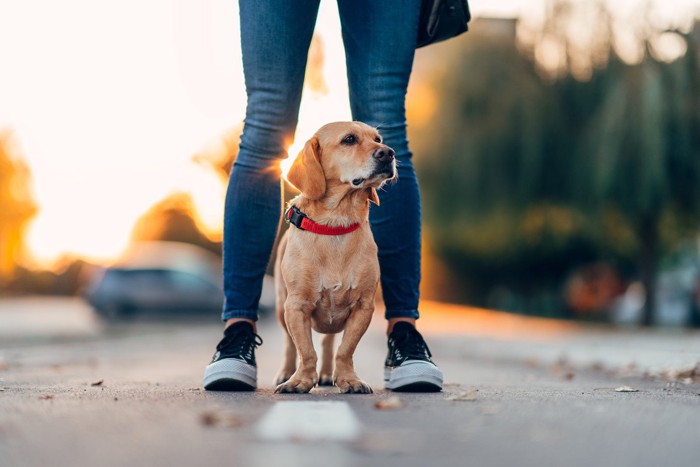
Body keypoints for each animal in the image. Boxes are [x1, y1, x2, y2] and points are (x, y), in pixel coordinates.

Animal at [272, 121, 394, 394]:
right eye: (349, 139)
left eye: (378, 139)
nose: (388, 153)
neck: (336, 224)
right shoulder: (296, 306)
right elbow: (305, 351)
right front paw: (300, 381)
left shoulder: (363, 306)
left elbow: (345, 350)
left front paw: (348, 379)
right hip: (281, 308)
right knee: (289, 344)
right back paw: (285, 372)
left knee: (328, 342)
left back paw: (327, 374)